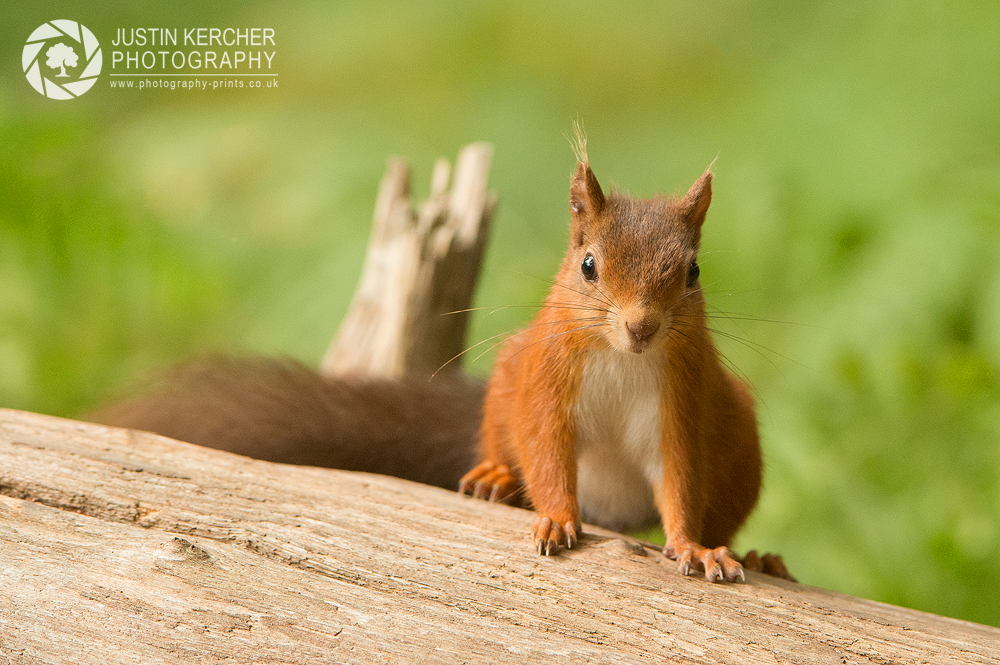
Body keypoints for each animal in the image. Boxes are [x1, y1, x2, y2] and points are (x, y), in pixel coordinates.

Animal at [458, 144, 756, 580]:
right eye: (588, 265)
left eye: (694, 271)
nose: (641, 327)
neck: (623, 359)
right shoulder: (548, 384)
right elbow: (547, 453)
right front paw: (556, 519)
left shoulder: (681, 406)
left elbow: (680, 479)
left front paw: (693, 547)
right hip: (503, 394)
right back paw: (496, 477)